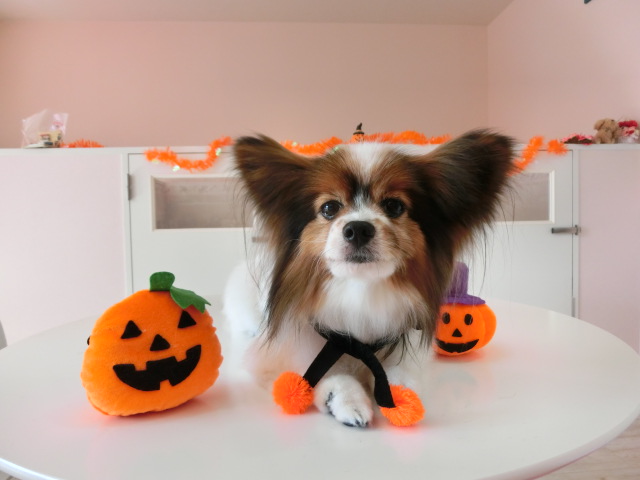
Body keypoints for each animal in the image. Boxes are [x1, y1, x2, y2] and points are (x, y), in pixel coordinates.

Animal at [224, 130, 514, 427]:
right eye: (329, 208)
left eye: (394, 206)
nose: (358, 229)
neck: (361, 292)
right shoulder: (281, 354)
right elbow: (320, 375)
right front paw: (345, 399)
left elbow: (401, 378)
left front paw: (398, 398)